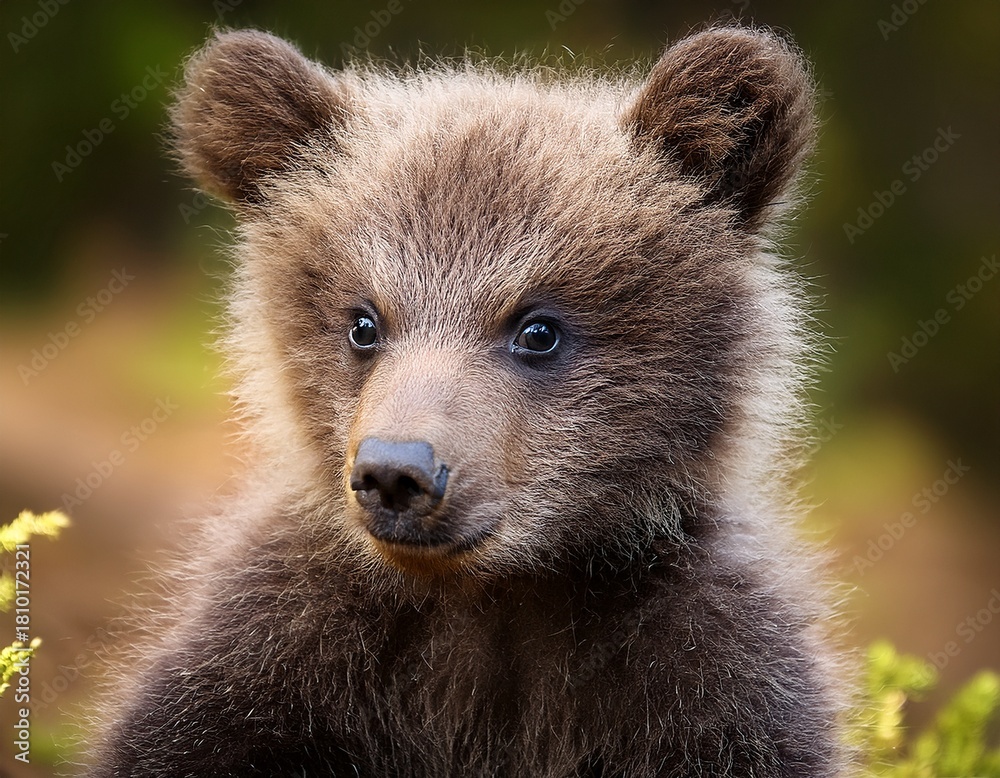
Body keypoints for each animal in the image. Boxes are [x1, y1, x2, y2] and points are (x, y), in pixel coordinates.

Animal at [89, 24, 846, 777]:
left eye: (537, 329)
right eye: (364, 322)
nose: (396, 471)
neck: (493, 594)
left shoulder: (708, 676)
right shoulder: (269, 655)